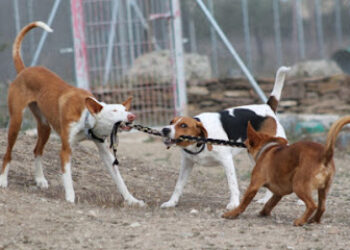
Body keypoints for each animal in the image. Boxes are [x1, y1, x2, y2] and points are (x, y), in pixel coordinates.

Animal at [0, 21, 144, 205]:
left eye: (126, 110)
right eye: (114, 111)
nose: (132, 116)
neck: (87, 118)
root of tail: (24, 70)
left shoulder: (104, 151)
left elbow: (120, 180)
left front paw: (132, 199)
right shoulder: (66, 150)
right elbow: (67, 177)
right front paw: (70, 199)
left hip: (45, 127)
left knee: (37, 150)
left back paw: (40, 179)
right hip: (16, 122)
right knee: (8, 153)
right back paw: (3, 180)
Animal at [161, 66, 290, 209]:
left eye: (183, 125)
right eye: (171, 122)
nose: (164, 129)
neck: (200, 142)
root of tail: (267, 107)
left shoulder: (227, 160)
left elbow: (232, 184)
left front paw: (234, 203)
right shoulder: (187, 163)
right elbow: (178, 185)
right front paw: (172, 202)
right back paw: (266, 199)